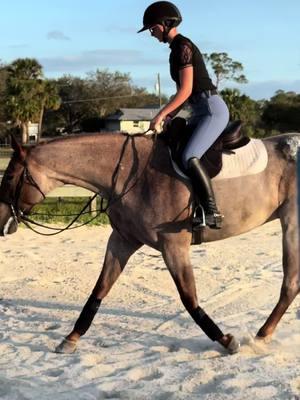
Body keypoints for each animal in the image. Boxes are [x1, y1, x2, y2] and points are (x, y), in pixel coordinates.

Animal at [0, 131, 298, 354]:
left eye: (10, 177)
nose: (2, 221)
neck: (130, 175)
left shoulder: (173, 247)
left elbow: (188, 297)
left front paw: (226, 340)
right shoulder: (122, 241)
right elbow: (99, 289)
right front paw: (70, 338)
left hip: (292, 225)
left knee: (290, 284)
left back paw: (262, 335)